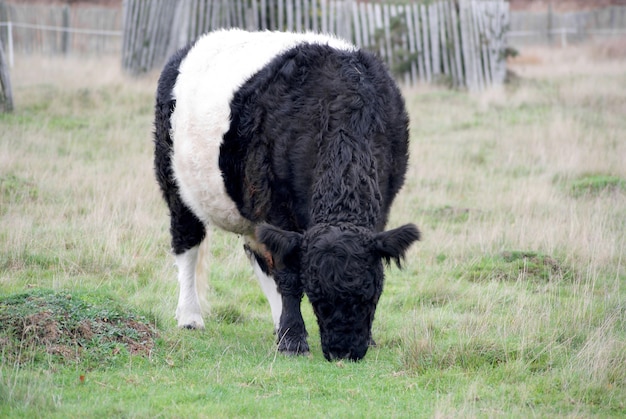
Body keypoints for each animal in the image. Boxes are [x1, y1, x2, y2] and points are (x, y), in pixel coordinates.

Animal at [152, 28, 420, 360]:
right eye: (318, 298)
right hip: (175, 184)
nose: (344, 352)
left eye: (371, 294)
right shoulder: (275, 204)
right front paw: (294, 340)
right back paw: (190, 317)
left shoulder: (385, 202)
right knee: (186, 244)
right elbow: (289, 275)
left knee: (260, 259)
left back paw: (277, 325)